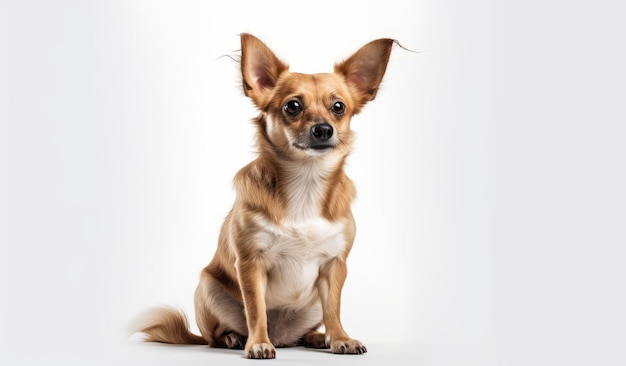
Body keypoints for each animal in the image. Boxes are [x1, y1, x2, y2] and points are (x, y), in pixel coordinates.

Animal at [131, 33, 394, 358]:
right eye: (293, 106)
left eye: (338, 107)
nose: (323, 129)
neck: (306, 181)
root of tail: (282, 336)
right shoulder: (249, 264)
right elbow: (256, 309)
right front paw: (257, 343)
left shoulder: (335, 266)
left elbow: (334, 308)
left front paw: (340, 338)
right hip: (207, 287)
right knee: (214, 335)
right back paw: (235, 338)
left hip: (311, 306)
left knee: (310, 325)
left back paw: (317, 337)